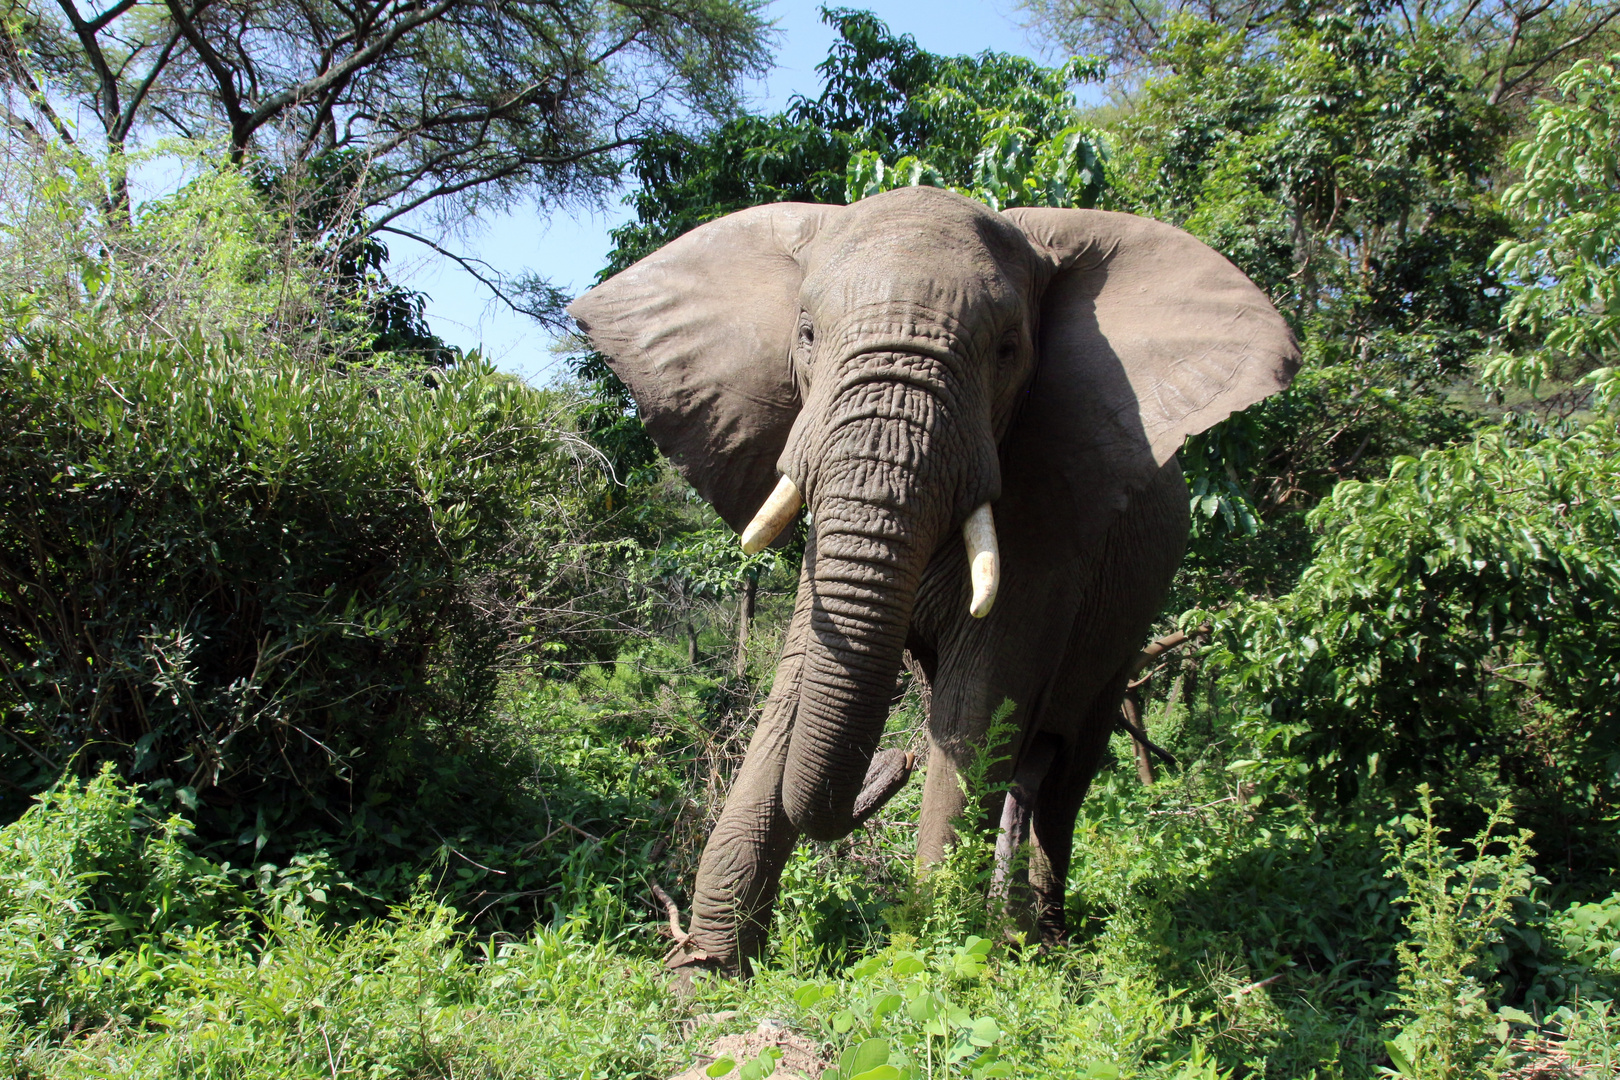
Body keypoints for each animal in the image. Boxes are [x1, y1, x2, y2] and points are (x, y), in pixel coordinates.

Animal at [570, 181, 1302, 977]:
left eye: (1008, 351)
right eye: (806, 334)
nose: (896, 759)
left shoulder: (1051, 506)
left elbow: (977, 702)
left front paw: (929, 962)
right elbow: (798, 680)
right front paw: (705, 975)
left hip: (1130, 619)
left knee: (1066, 776)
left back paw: (1045, 939)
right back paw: (1016, 931)